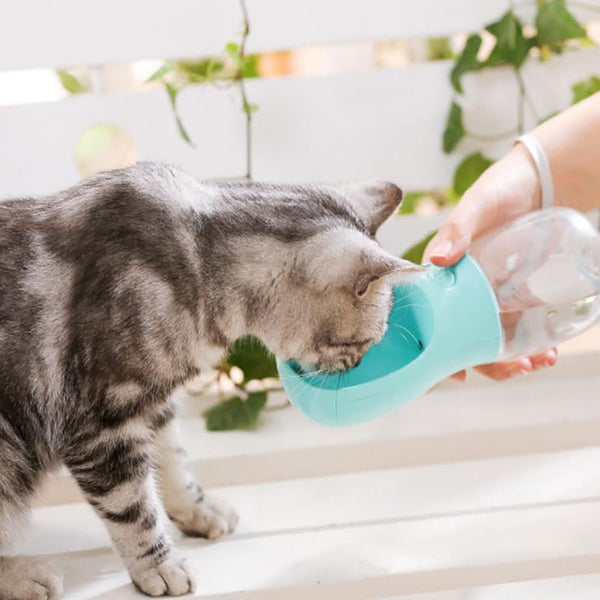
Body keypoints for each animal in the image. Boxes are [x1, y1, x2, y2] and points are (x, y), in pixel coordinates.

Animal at [0, 162, 418, 596]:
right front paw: (161, 565)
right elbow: (133, 507)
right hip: (7, 449)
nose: (357, 364)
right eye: (362, 342)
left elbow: (173, 464)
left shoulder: (155, 405)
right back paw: (25, 576)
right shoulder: (103, 424)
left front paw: (198, 511)